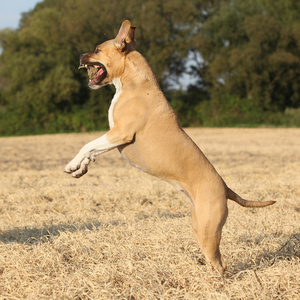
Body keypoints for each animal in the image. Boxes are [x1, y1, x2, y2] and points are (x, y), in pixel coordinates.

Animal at [64, 19, 276, 274]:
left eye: (96, 50)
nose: (79, 55)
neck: (132, 80)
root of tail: (226, 188)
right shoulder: (113, 137)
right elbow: (93, 150)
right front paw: (81, 169)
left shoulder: (120, 133)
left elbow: (88, 145)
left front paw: (72, 164)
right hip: (199, 226)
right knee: (215, 258)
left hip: (209, 229)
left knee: (219, 263)